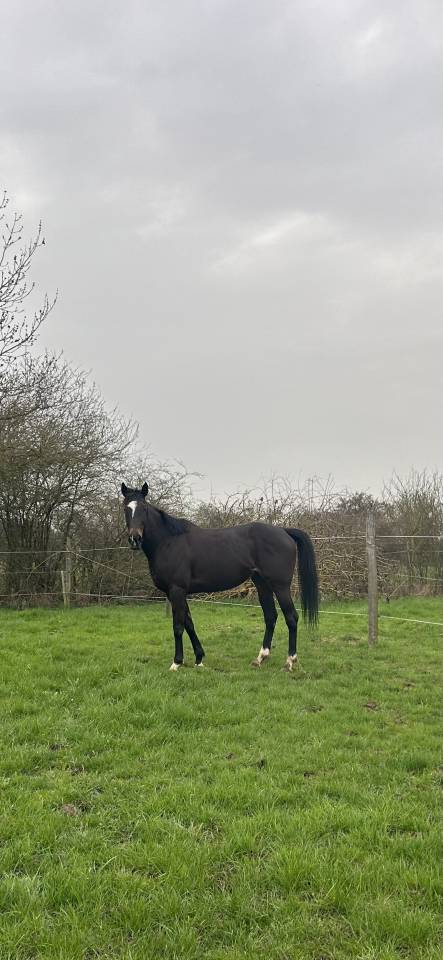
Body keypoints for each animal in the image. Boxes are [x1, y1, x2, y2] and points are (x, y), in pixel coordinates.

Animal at [121, 482, 319, 672]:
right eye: (125, 508)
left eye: (144, 508)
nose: (135, 539)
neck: (169, 542)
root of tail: (283, 531)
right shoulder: (176, 593)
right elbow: (189, 624)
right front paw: (199, 659)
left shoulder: (177, 590)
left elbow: (178, 627)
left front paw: (176, 663)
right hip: (262, 584)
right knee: (270, 616)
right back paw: (260, 658)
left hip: (280, 585)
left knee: (291, 617)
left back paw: (289, 662)